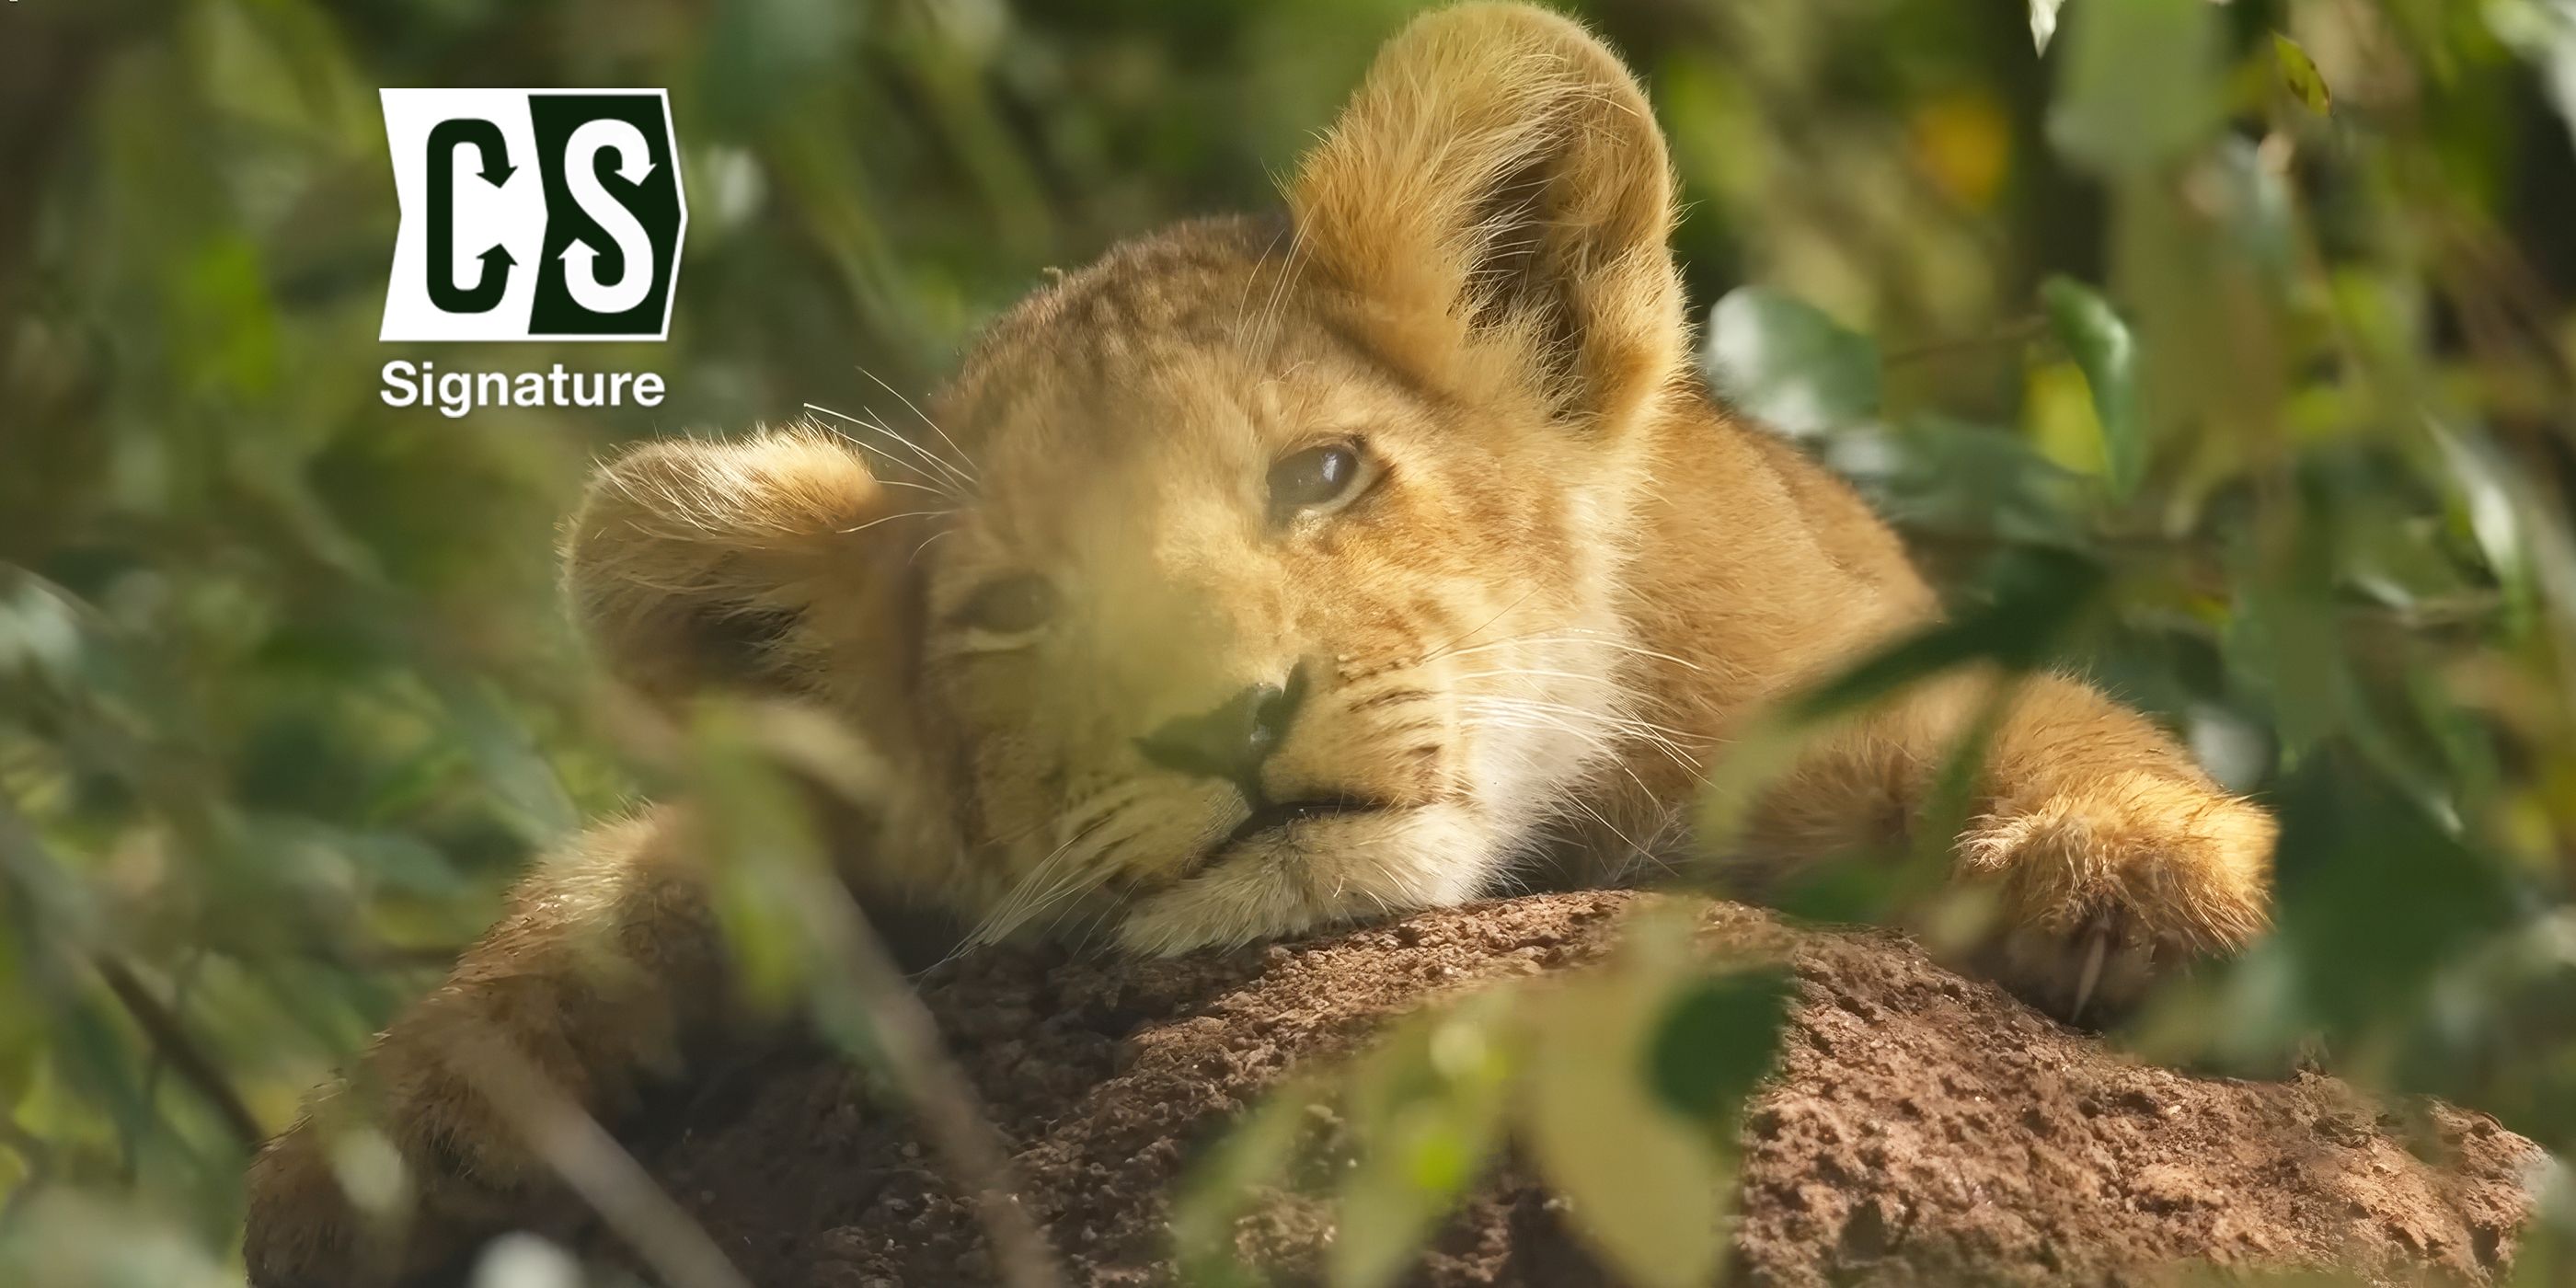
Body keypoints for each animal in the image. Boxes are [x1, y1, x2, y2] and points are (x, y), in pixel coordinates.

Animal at [243, 5, 2276, 1283]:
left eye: (1321, 475)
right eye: (1014, 612)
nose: (1224, 722)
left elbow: (2027, 721)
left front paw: (2146, 876)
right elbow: (653, 862)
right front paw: (392, 1127)